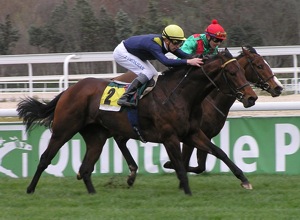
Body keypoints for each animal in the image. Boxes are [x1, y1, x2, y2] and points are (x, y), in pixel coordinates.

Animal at [17, 48, 255, 196]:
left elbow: (220, 153)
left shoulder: (192, 133)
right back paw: (29, 190)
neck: (181, 95)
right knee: (45, 158)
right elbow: (179, 165)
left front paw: (244, 180)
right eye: (232, 72)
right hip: (64, 129)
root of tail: (69, 90)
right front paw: (187, 192)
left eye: (242, 70)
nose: (251, 97)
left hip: (96, 136)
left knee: (85, 168)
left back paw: (93, 194)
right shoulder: (169, 137)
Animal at [163, 45, 282, 174]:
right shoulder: (190, 136)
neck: (211, 100)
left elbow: (200, 167)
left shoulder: (206, 135)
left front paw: (169, 164)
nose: (279, 87)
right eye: (259, 66)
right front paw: (168, 163)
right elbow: (184, 164)